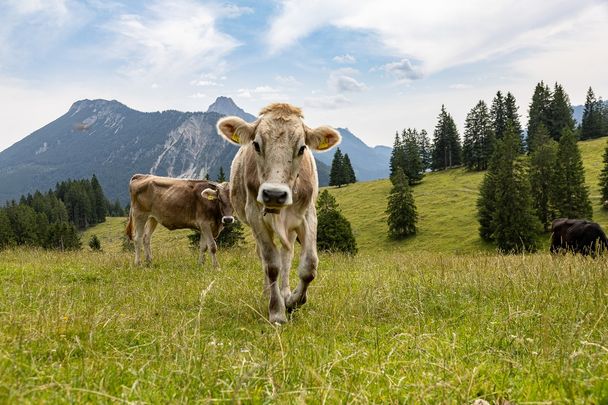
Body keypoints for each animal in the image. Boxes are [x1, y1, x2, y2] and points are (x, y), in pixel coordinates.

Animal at [217, 102, 342, 324]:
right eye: (256, 145)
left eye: (302, 148)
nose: (274, 194)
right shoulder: (255, 216)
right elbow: (271, 265)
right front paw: (277, 311)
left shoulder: (308, 215)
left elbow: (309, 265)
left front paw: (293, 301)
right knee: (266, 257)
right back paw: (268, 293)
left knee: (287, 254)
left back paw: (285, 292)